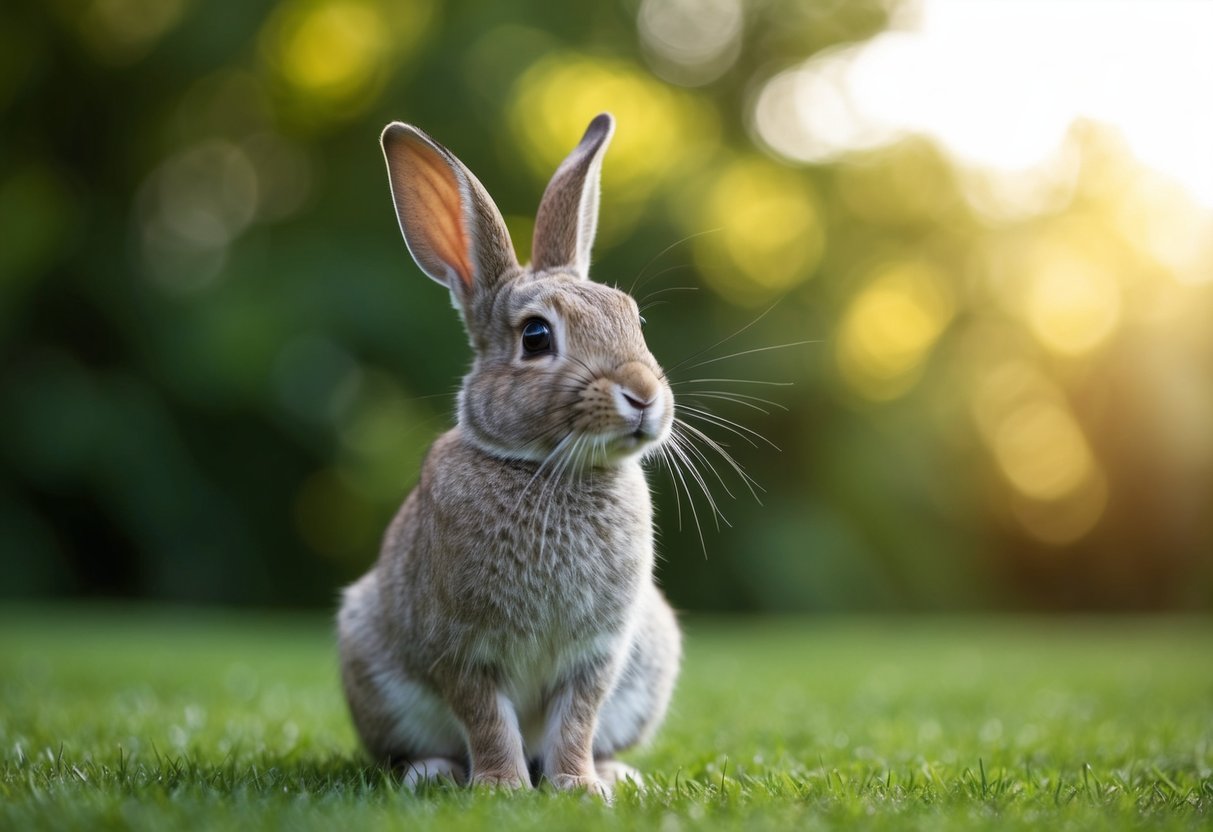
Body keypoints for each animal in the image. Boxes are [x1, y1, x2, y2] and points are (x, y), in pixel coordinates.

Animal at [337, 112, 681, 799]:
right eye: (536, 336)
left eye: (634, 320)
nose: (644, 396)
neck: (547, 466)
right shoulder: (462, 649)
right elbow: (487, 719)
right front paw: (502, 787)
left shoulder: (597, 653)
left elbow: (577, 719)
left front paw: (578, 786)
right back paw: (435, 774)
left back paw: (616, 774)